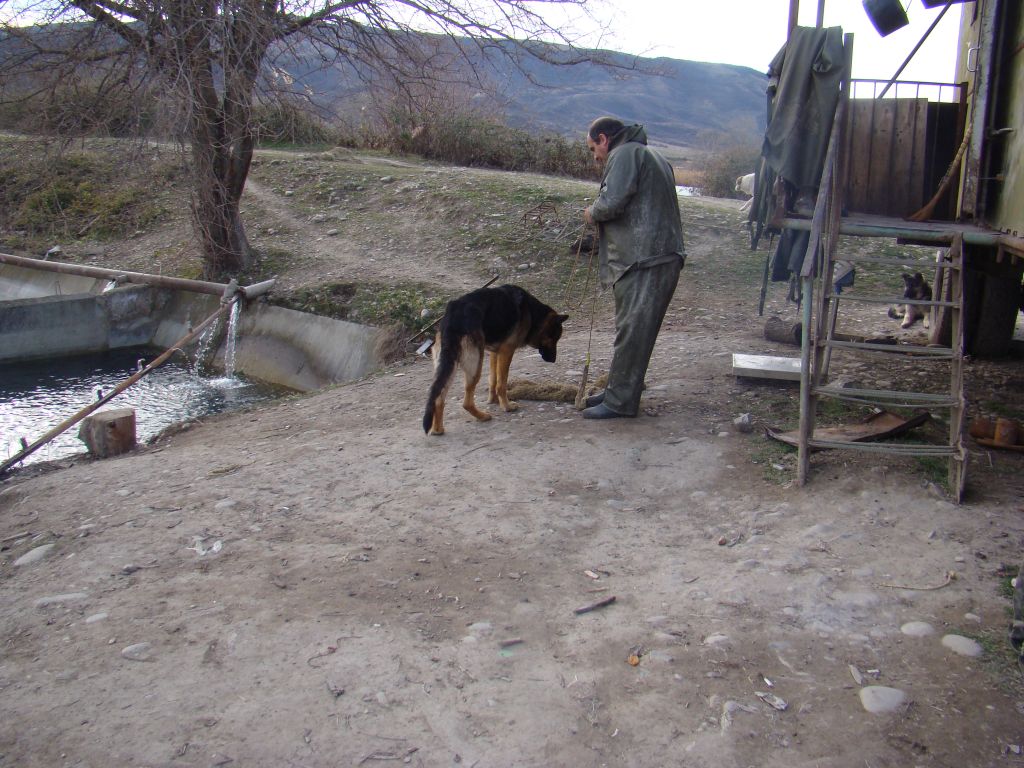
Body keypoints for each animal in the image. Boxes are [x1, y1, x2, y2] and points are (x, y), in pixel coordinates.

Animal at [423, 286, 569, 436]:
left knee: (438, 399)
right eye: (554, 339)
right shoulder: (506, 352)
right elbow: (501, 383)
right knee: (466, 402)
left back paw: (437, 429)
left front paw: (493, 400)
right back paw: (482, 416)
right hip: (475, 366)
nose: (553, 360)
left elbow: (493, 379)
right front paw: (507, 406)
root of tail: (452, 316)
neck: (533, 313)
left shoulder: (495, 353)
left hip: (449, 366)